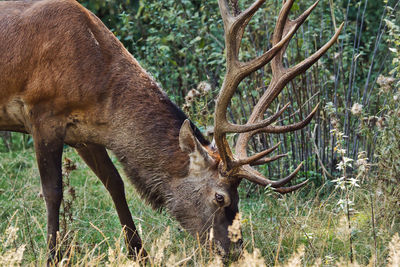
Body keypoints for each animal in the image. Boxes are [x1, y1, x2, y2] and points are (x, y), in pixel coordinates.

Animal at [0, 0, 342, 264]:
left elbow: (115, 184)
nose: (234, 252)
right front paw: (52, 257)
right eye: (221, 197)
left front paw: (140, 255)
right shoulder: (42, 113)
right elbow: (53, 191)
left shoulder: (84, 133)